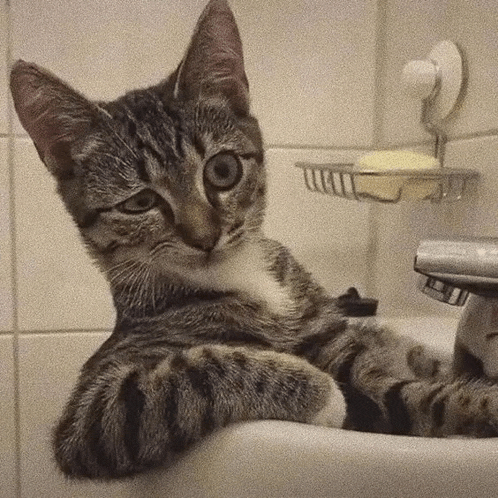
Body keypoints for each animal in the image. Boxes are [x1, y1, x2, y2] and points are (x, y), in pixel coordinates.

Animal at [8, 0, 498, 482]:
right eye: (140, 202)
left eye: (222, 170)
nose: (204, 236)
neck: (245, 276)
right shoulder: (96, 411)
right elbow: (194, 371)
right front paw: (319, 391)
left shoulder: (337, 333)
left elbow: (421, 375)